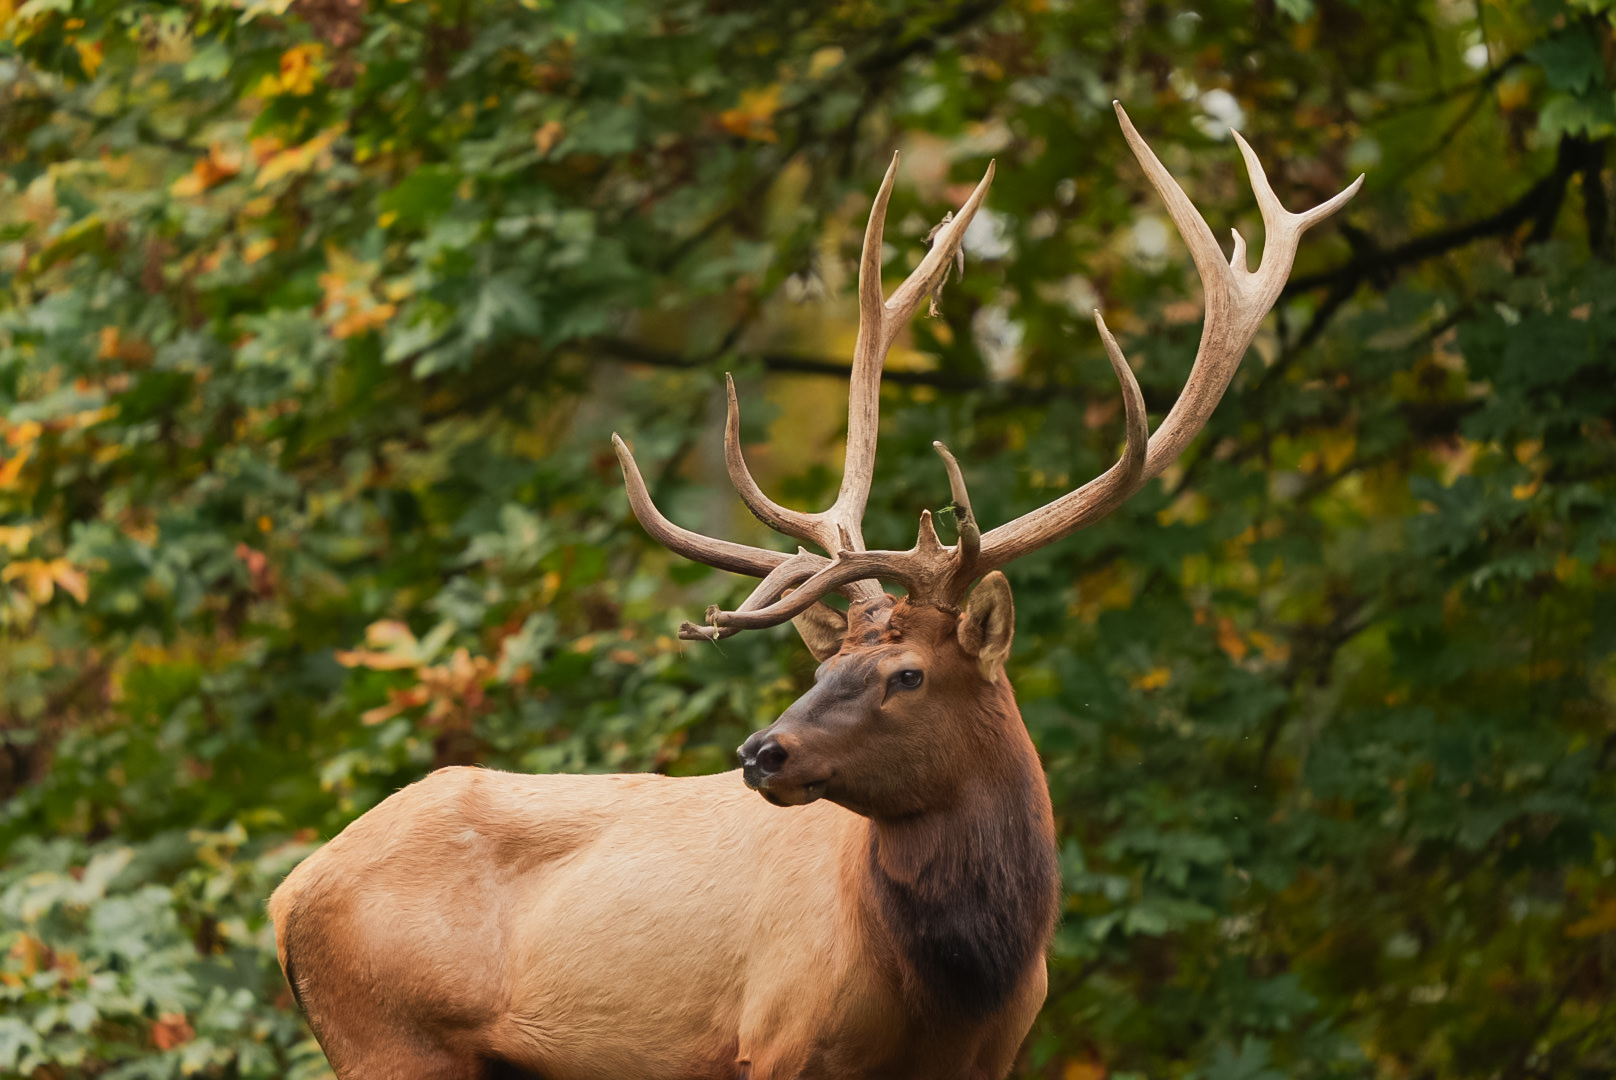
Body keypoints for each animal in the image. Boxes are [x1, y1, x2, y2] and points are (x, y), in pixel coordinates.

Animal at [268, 103, 1360, 1080]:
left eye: (907, 673)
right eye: (826, 665)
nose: (763, 751)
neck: (957, 994)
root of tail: (289, 897)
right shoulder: (779, 1041)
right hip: (391, 1040)